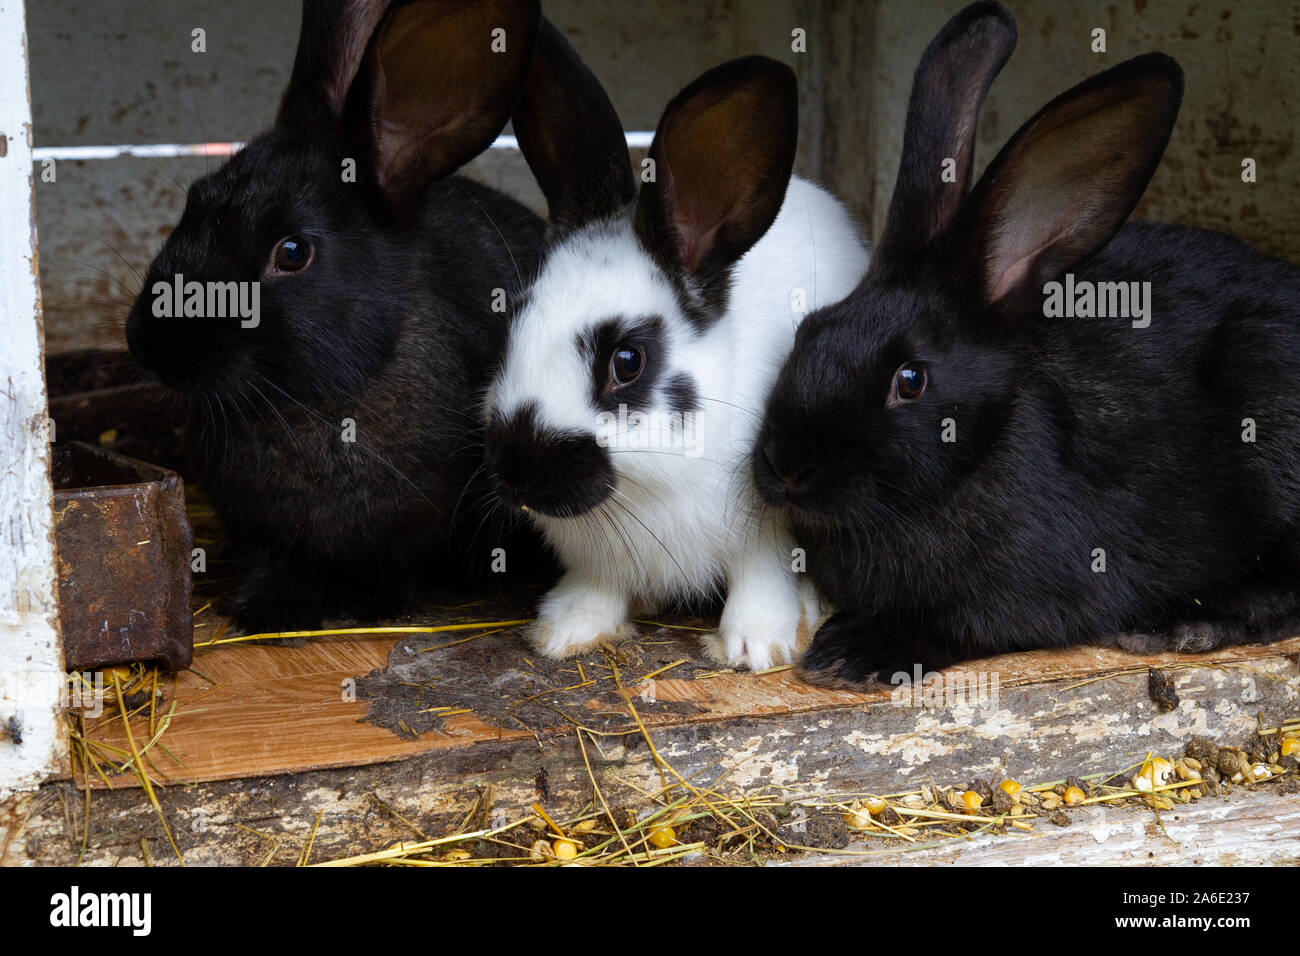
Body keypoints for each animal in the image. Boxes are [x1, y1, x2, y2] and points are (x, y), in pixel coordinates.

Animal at [125, 0, 548, 634]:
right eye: (194, 202)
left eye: (293, 252)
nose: (147, 342)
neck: (308, 401)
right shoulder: (262, 530)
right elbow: (279, 564)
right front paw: (268, 614)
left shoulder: (417, 526)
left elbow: (394, 563)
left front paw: (371, 606)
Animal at [482, 20, 870, 669]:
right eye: (514, 323)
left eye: (627, 362)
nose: (518, 472)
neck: (650, 487)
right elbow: (599, 586)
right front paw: (568, 632)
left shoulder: (766, 530)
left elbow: (761, 578)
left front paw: (756, 647)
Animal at [753, 0, 1300, 689]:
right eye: (808, 331)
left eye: (911, 380)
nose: (784, 465)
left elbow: (967, 625)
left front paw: (852, 655)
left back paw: (1186, 623)